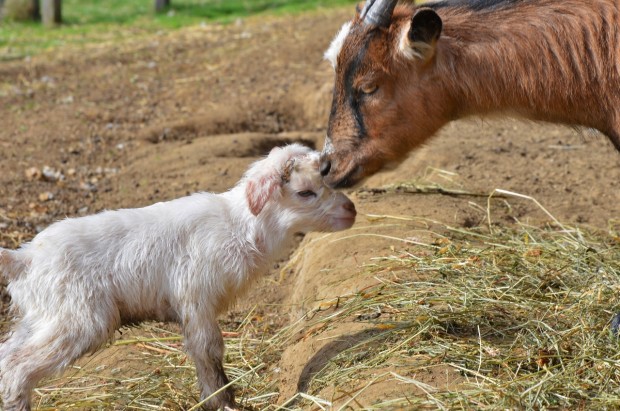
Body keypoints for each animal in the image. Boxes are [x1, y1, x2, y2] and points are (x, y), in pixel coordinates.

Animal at [0, 143, 356, 410]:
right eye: (305, 192)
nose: (351, 210)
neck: (240, 228)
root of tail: (24, 258)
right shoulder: (196, 297)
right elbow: (208, 349)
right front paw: (222, 401)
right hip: (77, 318)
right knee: (18, 367)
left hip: (41, 317)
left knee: (6, 357)